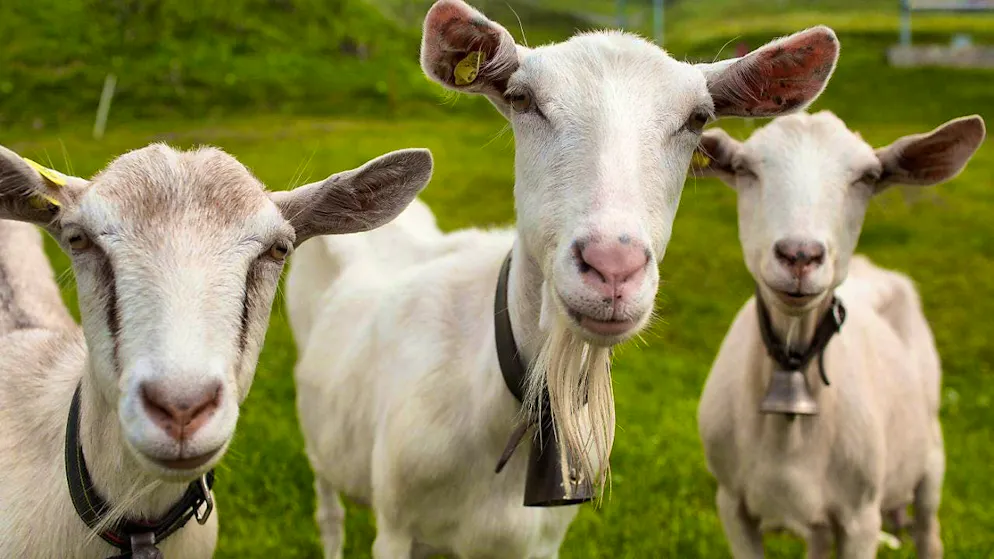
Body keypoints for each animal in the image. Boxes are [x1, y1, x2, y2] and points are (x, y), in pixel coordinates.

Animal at [285, 1, 842, 556]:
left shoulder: (540, 543)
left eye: (697, 118)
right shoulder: (397, 526)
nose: (612, 267)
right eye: (522, 98)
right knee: (328, 508)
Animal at [694, 110, 986, 558]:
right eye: (744, 168)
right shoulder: (731, 503)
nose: (799, 255)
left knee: (928, 531)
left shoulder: (860, 517)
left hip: (931, 457)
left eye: (868, 177)